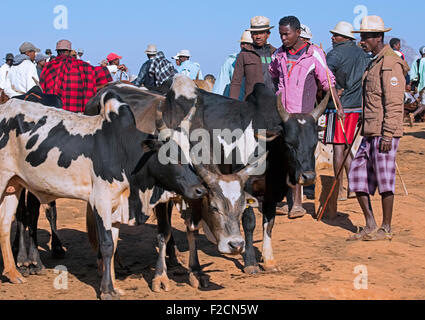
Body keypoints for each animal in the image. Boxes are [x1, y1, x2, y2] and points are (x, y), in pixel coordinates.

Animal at [0, 92, 206, 300]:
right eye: (169, 155)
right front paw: (107, 290)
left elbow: (113, 247)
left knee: (5, 223)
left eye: (189, 155)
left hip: (14, 185)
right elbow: (106, 245)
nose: (200, 189)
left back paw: (13, 273)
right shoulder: (101, 202)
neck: (123, 152)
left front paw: (114, 287)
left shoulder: (116, 206)